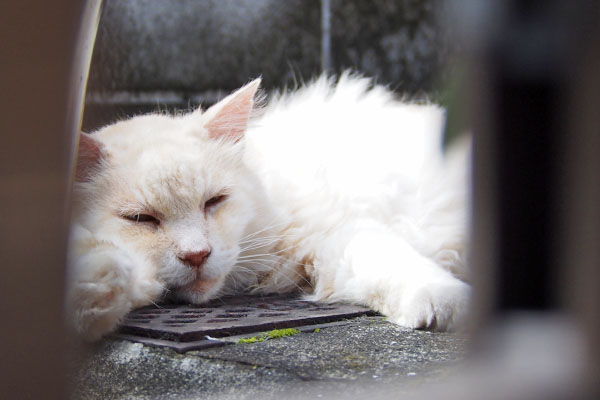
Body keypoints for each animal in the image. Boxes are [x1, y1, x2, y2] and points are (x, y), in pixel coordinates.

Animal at [64, 72, 468, 340]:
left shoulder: (331, 234)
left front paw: (446, 301)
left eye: (214, 201)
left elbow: (393, 261)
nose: (197, 255)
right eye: (141, 218)